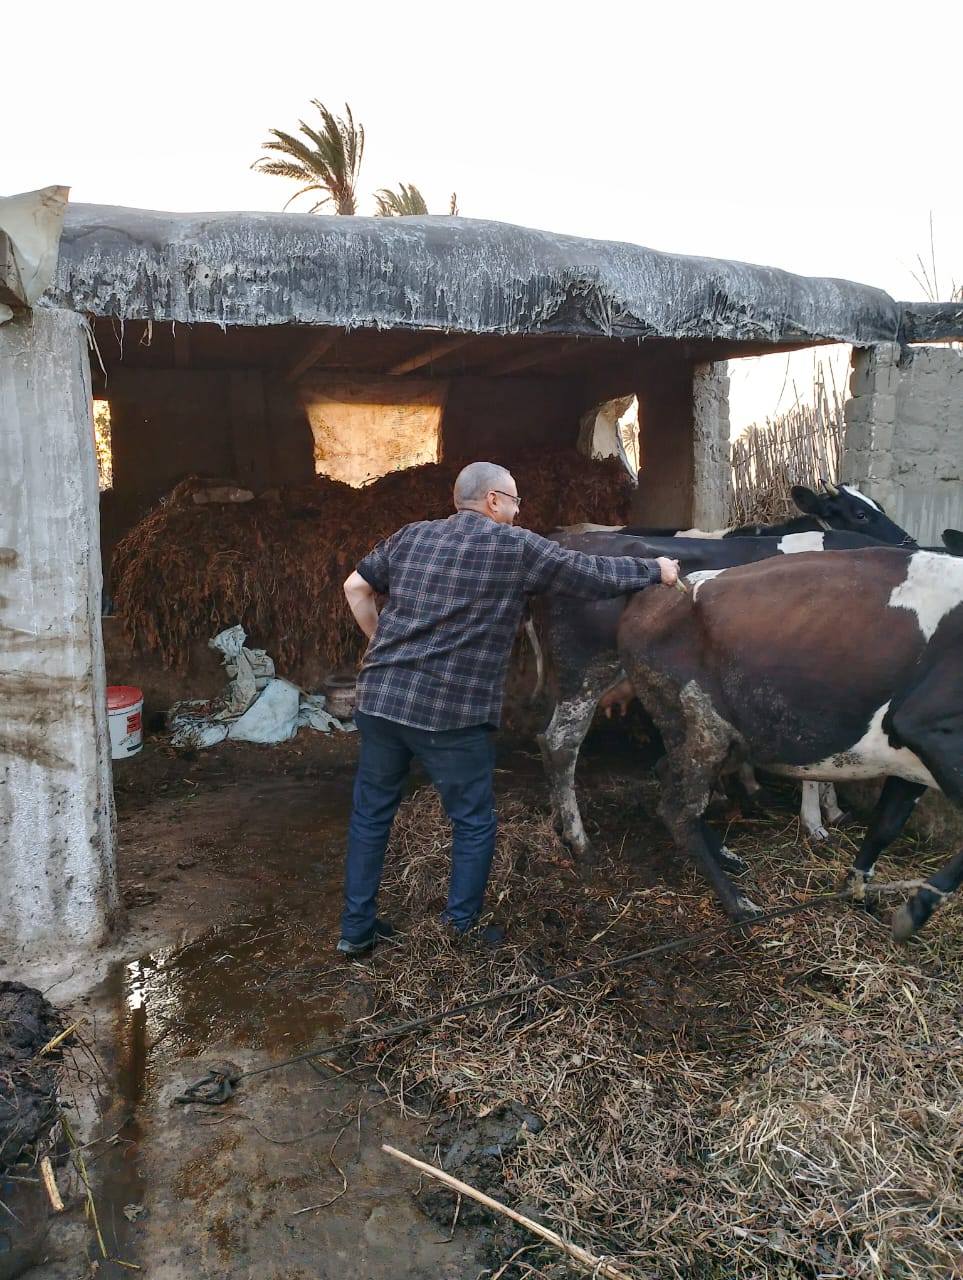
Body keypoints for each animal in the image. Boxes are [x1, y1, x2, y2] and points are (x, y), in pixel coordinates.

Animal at [617, 550, 962, 942]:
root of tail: (649, 598)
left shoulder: (911, 761)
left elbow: (886, 825)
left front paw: (858, 891)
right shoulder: (930, 732)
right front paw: (916, 910)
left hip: (720, 735)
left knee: (666, 773)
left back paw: (726, 855)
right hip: (700, 723)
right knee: (678, 811)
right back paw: (739, 904)